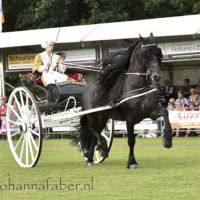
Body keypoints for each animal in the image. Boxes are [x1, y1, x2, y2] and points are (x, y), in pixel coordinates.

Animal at [75, 33, 172, 169]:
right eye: (146, 54)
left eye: (158, 52)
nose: (157, 76)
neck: (138, 86)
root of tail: (87, 89)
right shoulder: (130, 119)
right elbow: (131, 141)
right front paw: (132, 162)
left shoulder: (151, 112)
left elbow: (165, 112)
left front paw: (167, 139)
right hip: (92, 115)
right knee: (92, 129)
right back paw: (103, 149)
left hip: (103, 117)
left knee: (95, 134)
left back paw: (90, 158)